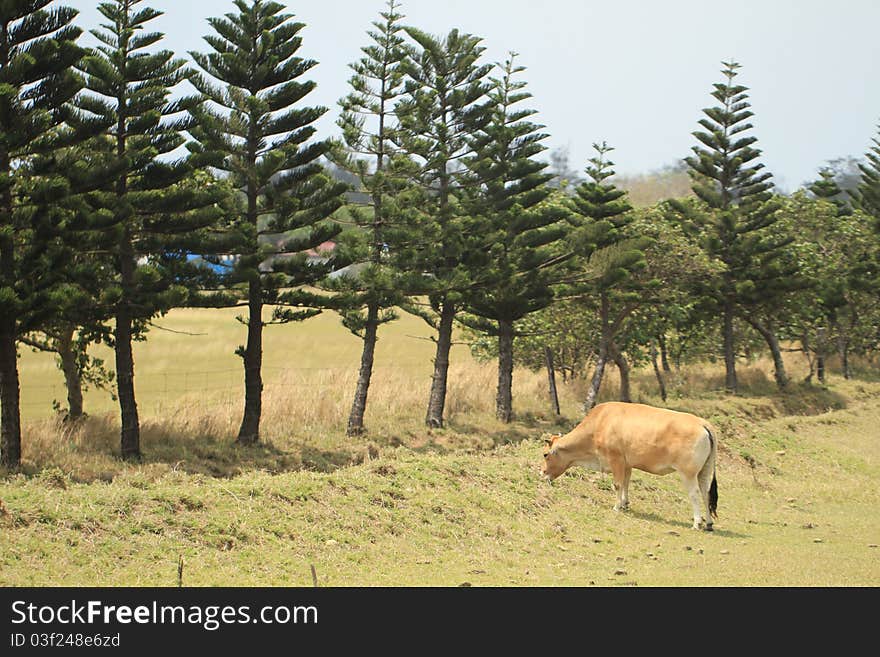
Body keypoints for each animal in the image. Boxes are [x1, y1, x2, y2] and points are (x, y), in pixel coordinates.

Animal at [540, 400, 720, 532]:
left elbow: (618, 484)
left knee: (695, 494)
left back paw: (697, 522)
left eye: (545, 454)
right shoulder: (627, 464)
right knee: (706, 493)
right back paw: (709, 523)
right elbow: (626, 483)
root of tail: (703, 424)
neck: (599, 424)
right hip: (704, 471)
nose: (542, 472)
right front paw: (624, 503)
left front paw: (616, 506)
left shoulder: (616, 460)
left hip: (688, 473)